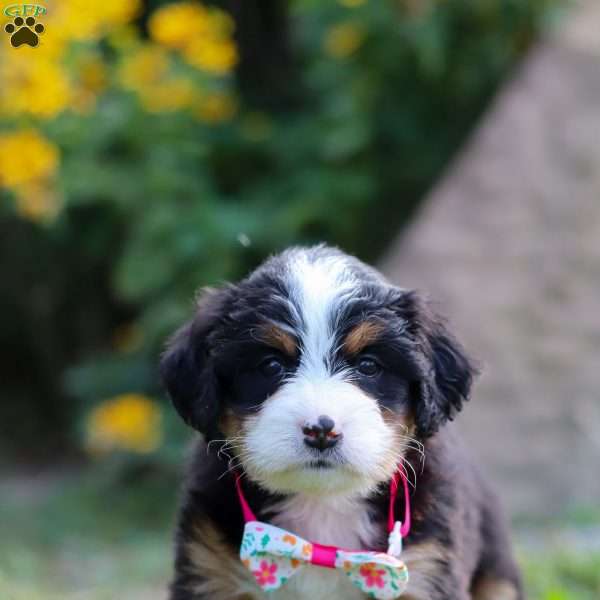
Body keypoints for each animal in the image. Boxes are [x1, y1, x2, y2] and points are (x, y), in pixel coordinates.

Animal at [159, 245, 520, 600]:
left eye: (369, 366)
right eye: (271, 365)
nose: (321, 430)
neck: (322, 507)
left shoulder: (428, 567)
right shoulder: (208, 570)